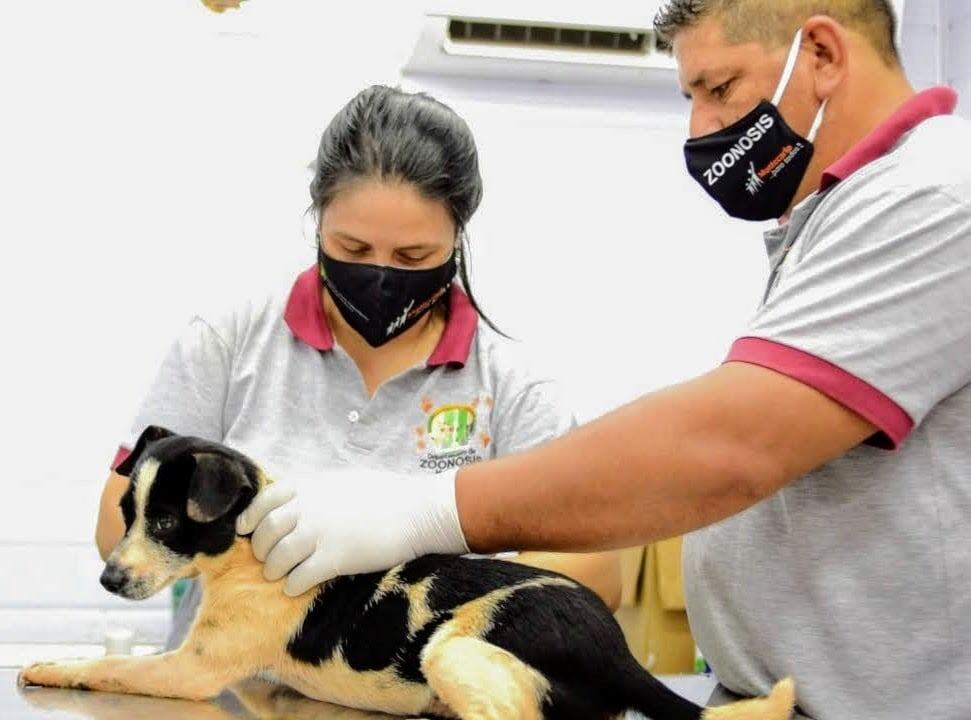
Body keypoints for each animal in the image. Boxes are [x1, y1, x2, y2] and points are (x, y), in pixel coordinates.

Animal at [19, 428, 796, 720]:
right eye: (125, 512)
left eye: (168, 524)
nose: (108, 582)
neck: (245, 555)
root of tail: (619, 655)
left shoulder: (193, 671)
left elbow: (111, 666)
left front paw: (54, 667)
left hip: (453, 650)